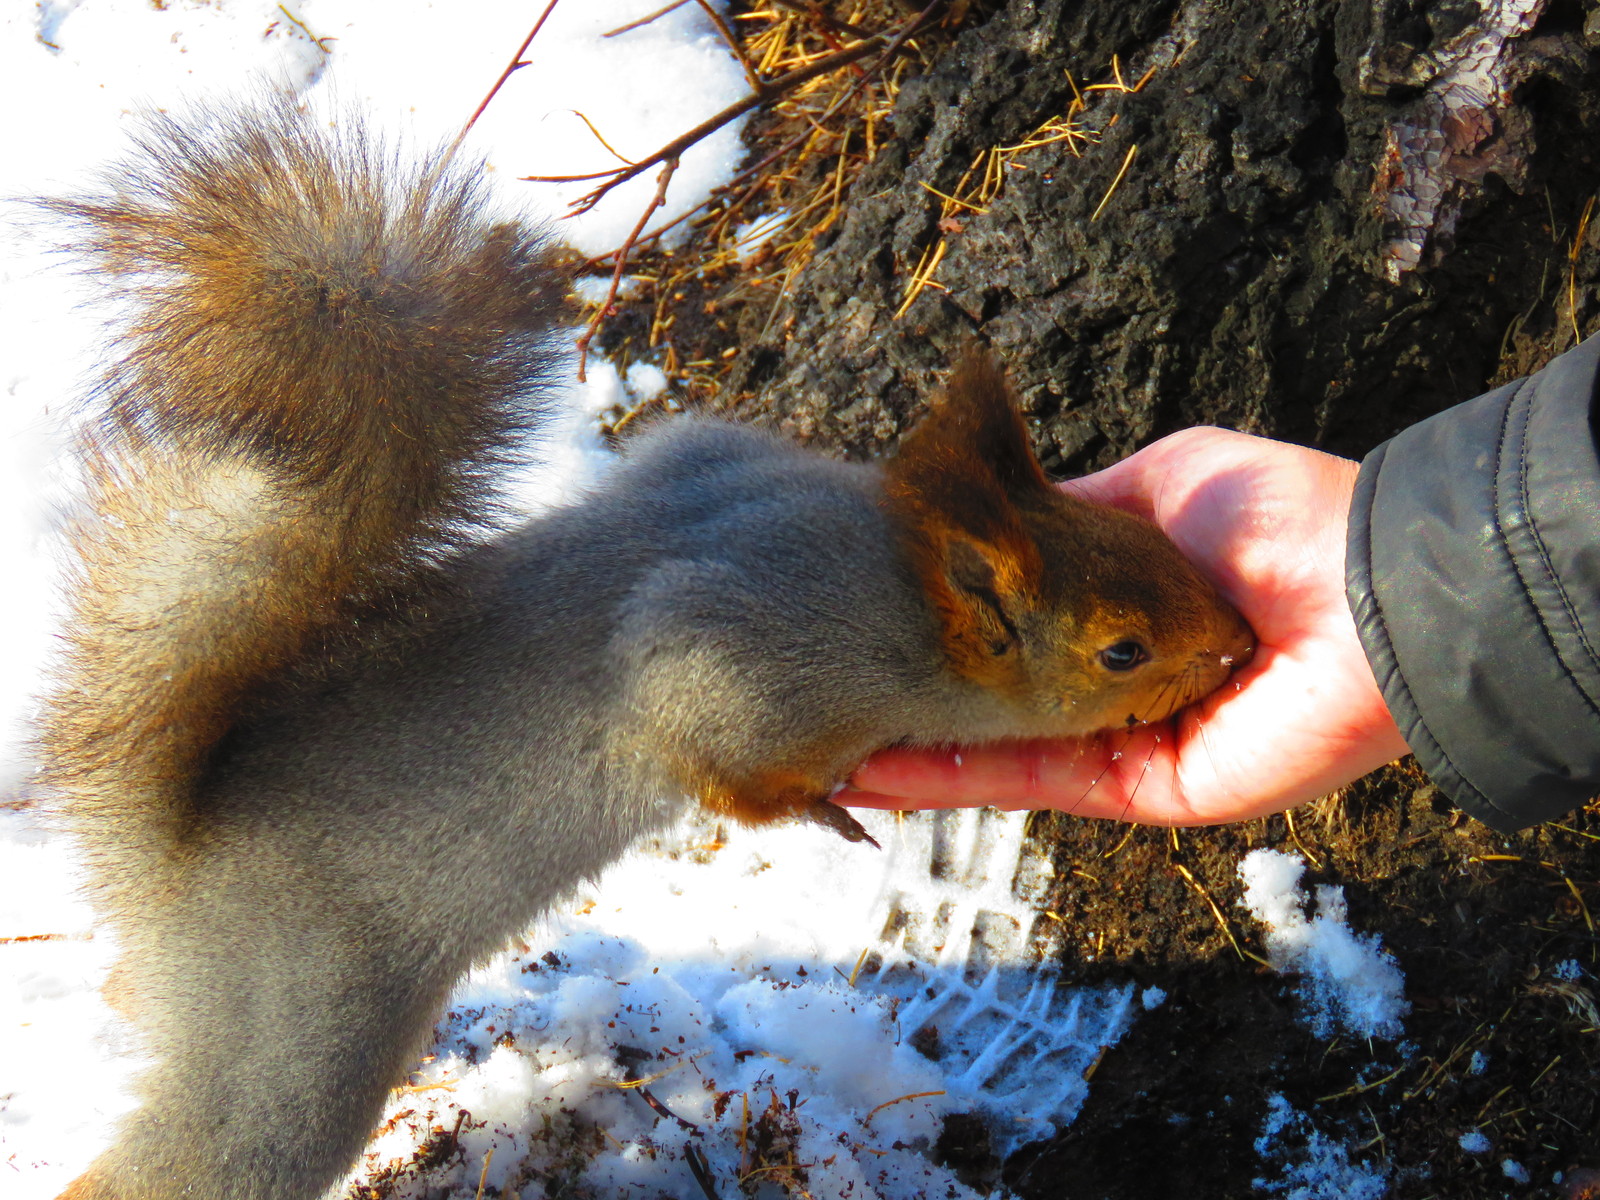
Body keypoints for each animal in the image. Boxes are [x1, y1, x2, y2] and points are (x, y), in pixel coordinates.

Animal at [37, 103, 1254, 1200]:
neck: (895, 577)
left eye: (1148, 537)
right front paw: (818, 811)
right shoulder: (746, 652)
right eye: (1122, 650)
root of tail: (168, 864)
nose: (1240, 647)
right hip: (292, 1042)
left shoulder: (710, 459)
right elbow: (712, 755)